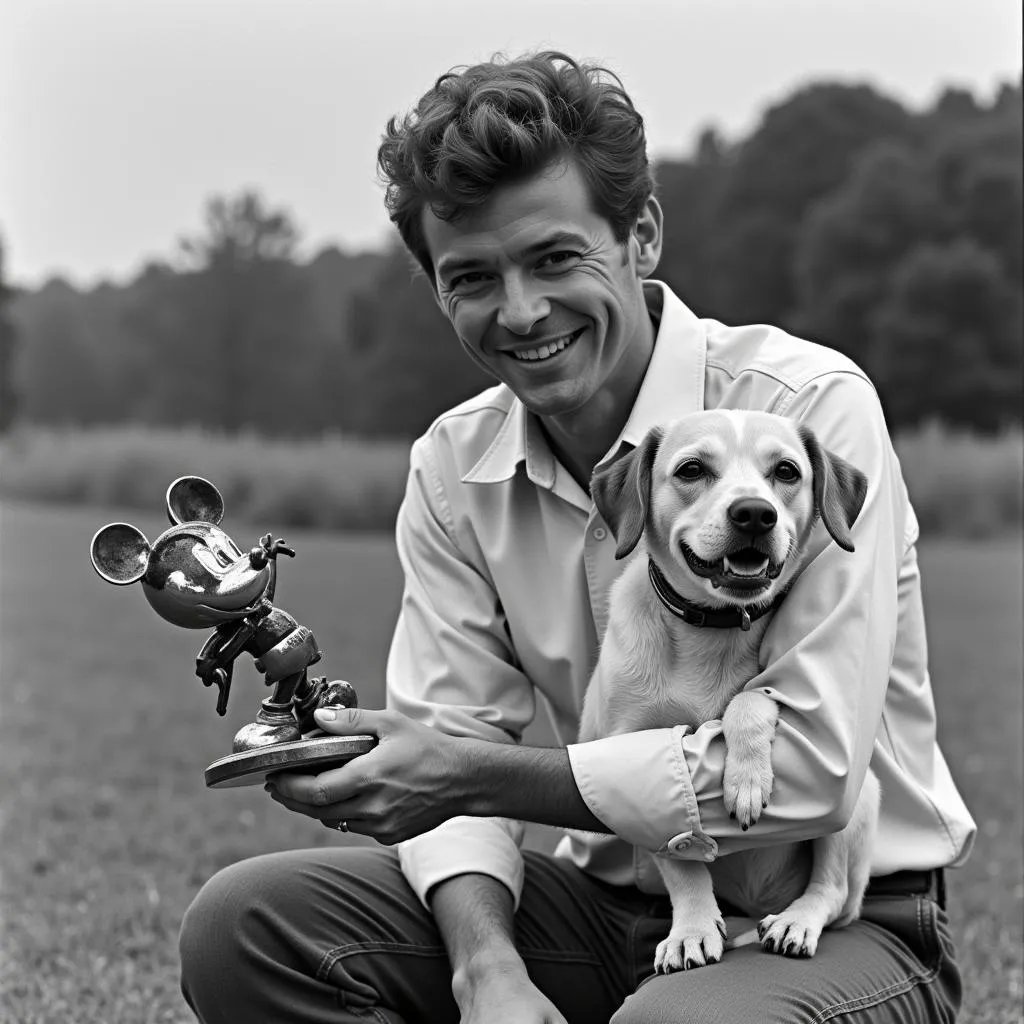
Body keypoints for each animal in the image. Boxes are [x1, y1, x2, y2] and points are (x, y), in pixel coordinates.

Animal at [581, 407, 884, 966]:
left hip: (858, 799)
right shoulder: (634, 767)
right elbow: (682, 862)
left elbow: (750, 697)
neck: (713, 630)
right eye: (691, 469)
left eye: (786, 471)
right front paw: (693, 929)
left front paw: (746, 780)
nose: (754, 514)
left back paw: (796, 921)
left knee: (832, 893)